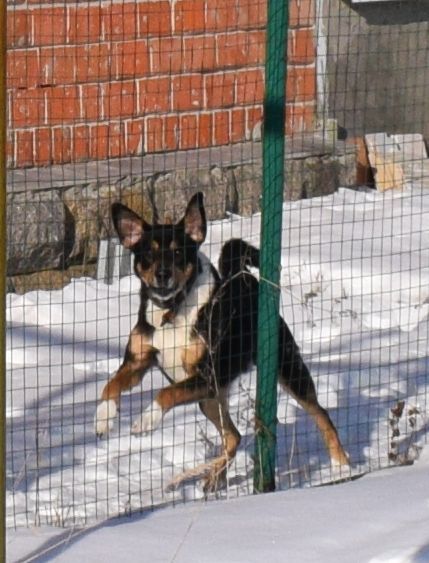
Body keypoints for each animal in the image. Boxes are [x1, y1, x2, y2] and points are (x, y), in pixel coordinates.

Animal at [94, 193, 348, 490]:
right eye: (148, 253)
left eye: (178, 252)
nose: (163, 274)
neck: (173, 311)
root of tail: (243, 276)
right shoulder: (138, 362)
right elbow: (110, 385)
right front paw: (104, 418)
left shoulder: (207, 374)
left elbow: (164, 393)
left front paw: (147, 419)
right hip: (210, 399)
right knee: (234, 436)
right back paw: (214, 477)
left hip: (286, 369)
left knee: (321, 414)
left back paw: (341, 466)